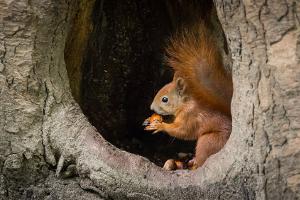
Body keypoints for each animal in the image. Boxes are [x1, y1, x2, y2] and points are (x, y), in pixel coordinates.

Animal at [145, 22, 232, 169]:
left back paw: (194, 164)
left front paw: (160, 126)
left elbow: (182, 131)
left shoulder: (190, 116)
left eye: (165, 99)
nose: (151, 108)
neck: (185, 104)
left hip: (208, 141)